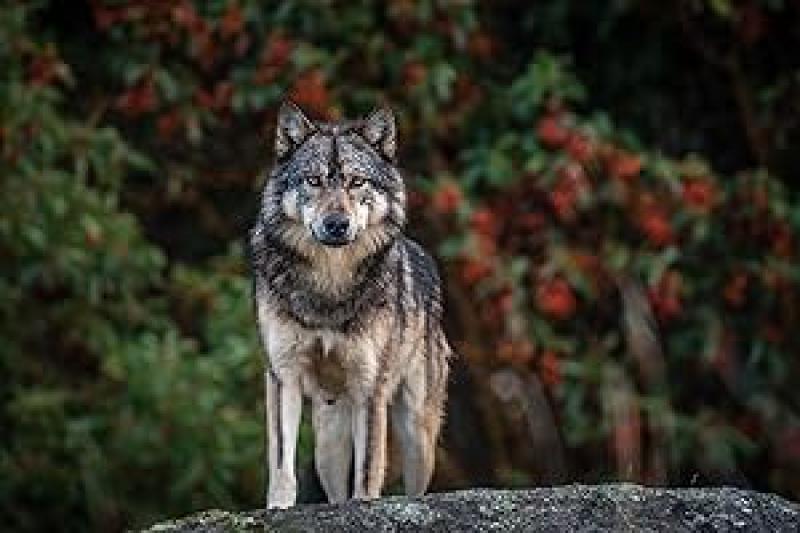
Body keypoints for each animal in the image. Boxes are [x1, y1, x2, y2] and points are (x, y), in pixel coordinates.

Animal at [249, 101, 452, 508]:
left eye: (357, 182)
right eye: (313, 181)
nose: (337, 225)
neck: (330, 283)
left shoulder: (370, 386)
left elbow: (369, 468)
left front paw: (367, 503)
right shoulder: (283, 375)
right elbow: (281, 461)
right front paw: (278, 507)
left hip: (417, 436)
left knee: (414, 486)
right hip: (328, 445)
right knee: (334, 491)